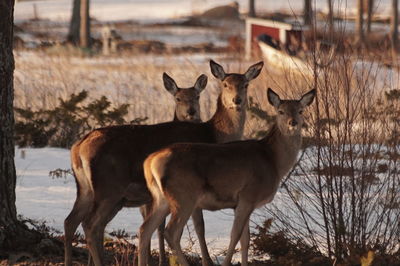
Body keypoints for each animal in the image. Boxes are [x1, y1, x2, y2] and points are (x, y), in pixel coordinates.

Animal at [64, 60, 264, 266]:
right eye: (225, 84)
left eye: (245, 84)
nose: (237, 100)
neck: (215, 135)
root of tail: (78, 147)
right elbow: (199, 226)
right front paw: (205, 261)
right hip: (109, 187)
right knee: (90, 224)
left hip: (86, 189)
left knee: (71, 221)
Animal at [139, 88, 318, 266]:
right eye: (280, 111)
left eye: (300, 111)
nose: (293, 123)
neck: (273, 161)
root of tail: (151, 161)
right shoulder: (248, 195)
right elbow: (235, 236)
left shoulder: (243, 203)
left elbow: (246, 240)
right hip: (184, 195)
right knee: (171, 232)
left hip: (161, 198)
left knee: (144, 229)